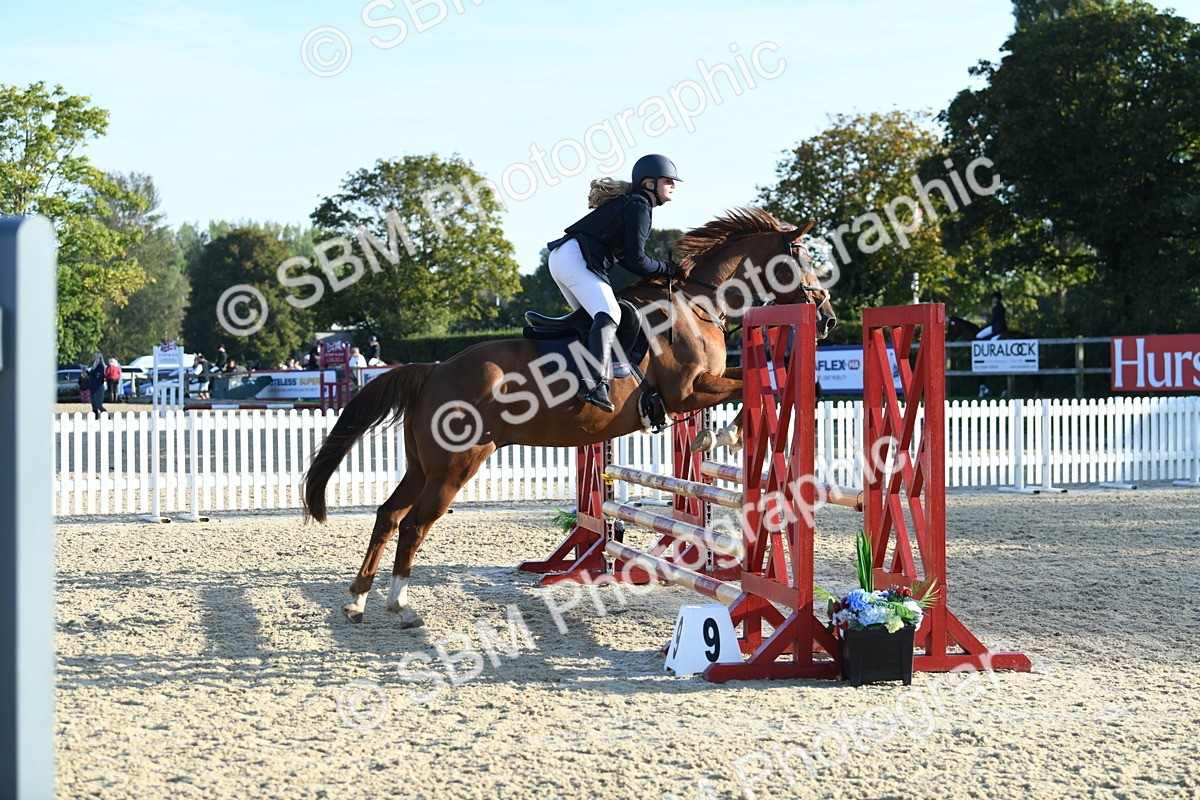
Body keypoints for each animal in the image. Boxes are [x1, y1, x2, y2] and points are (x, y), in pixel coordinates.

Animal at [302, 207, 837, 626]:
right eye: (806, 258)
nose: (828, 317)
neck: (695, 304)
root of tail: (434, 370)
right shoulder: (688, 391)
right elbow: (750, 387)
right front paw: (723, 436)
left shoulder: (704, 384)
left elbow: (759, 380)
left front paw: (724, 435)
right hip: (456, 466)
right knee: (413, 525)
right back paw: (400, 605)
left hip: (422, 467)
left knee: (388, 515)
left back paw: (358, 601)